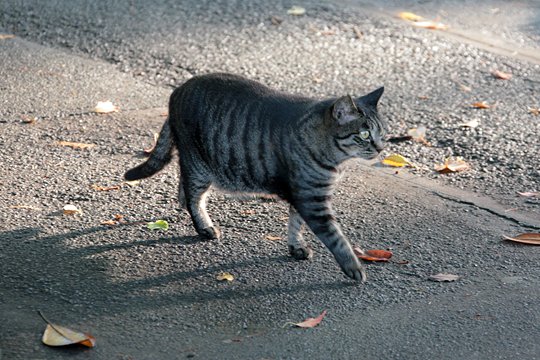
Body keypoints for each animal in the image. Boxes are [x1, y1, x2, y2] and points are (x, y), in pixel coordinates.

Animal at [125, 73, 388, 282]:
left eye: (382, 132)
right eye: (365, 134)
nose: (380, 148)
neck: (334, 158)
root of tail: (178, 89)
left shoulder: (302, 195)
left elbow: (295, 223)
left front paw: (296, 246)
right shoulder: (311, 199)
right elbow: (336, 238)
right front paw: (353, 266)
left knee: (184, 182)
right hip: (199, 165)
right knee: (194, 196)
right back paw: (203, 225)